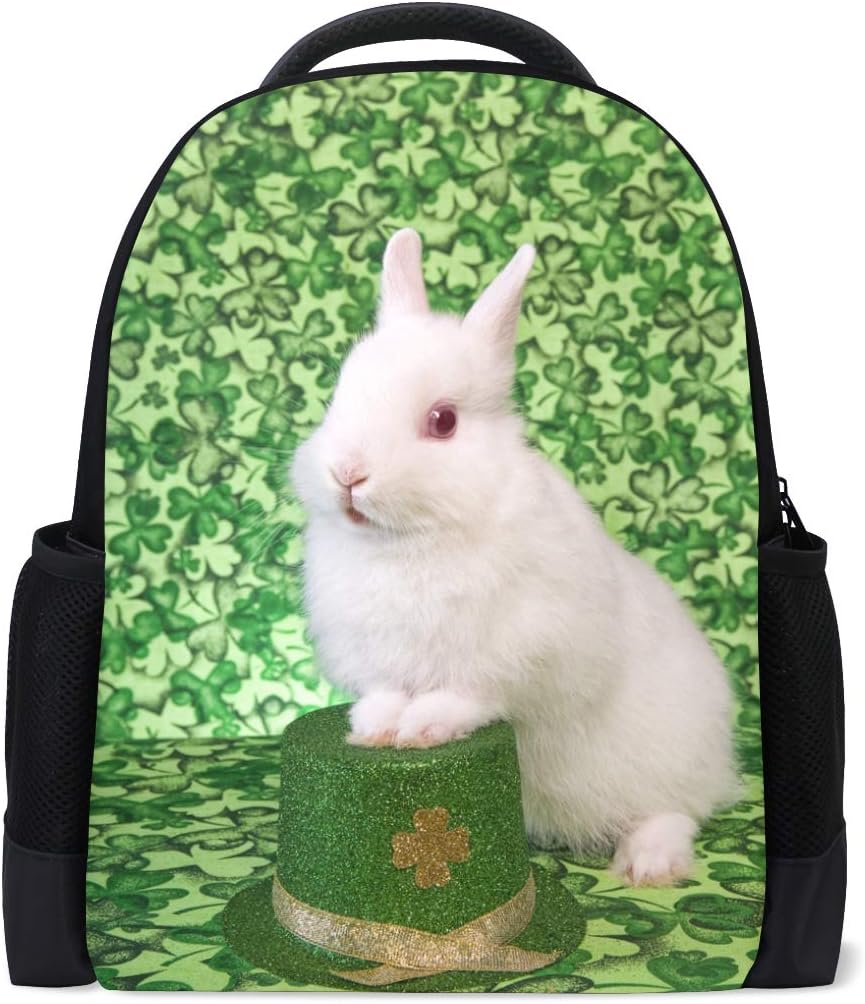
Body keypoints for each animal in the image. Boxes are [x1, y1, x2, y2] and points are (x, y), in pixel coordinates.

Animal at [290, 228, 741, 886]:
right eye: (337, 396)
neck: (411, 538)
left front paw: (424, 727)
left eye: (443, 421)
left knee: (678, 810)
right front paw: (375, 728)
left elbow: (474, 692)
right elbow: (385, 688)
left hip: (666, 762)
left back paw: (647, 863)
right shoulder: (381, 653)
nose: (348, 474)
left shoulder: (522, 649)